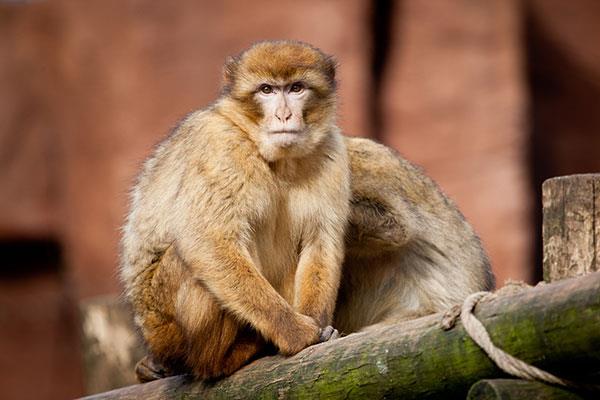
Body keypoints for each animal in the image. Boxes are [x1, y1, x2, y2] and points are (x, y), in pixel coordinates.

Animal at [119, 40, 350, 382]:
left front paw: (320, 328)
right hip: (168, 330)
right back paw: (223, 359)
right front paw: (295, 332)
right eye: (267, 89)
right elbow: (208, 240)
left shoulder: (331, 150)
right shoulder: (221, 146)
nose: (284, 114)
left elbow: (320, 241)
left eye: (296, 88)